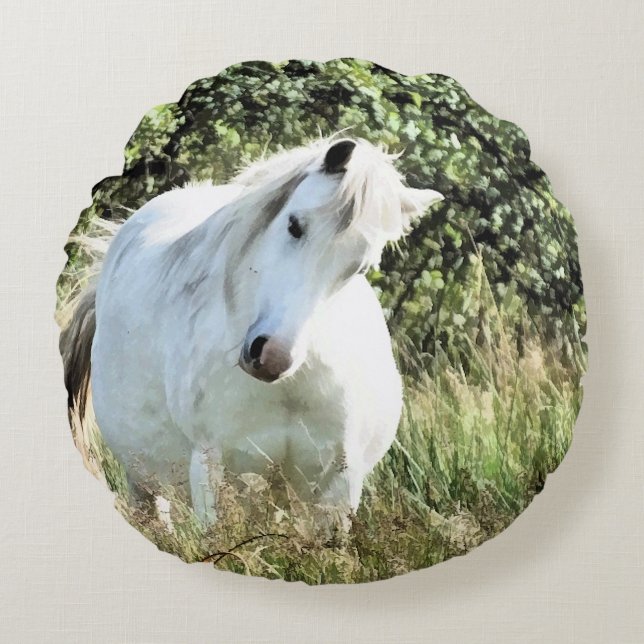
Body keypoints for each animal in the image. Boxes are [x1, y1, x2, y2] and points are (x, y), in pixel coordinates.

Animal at [60, 136, 443, 526]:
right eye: (294, 224)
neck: (290, 389)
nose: (272, 356)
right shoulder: (211, 473)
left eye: (361, 265)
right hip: (143, 483)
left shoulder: (337, 489)